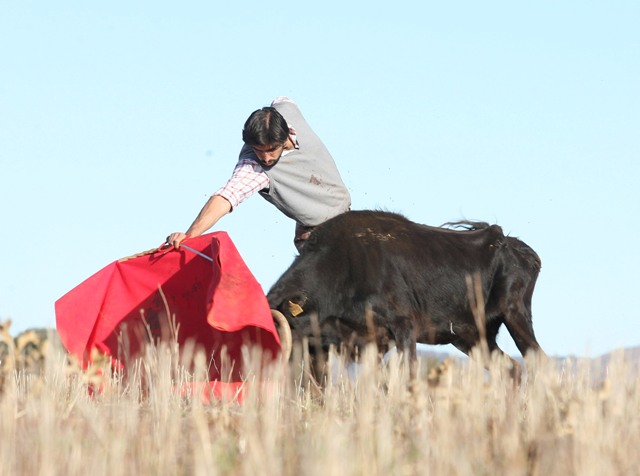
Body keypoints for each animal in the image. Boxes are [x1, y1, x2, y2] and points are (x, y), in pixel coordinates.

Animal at [268, 211, 544, 372]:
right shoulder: (368, 342)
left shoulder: (404, 326)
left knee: (540, 363)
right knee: (511, 370)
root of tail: (512, 244)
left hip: (516, 316)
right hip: (472, 338)